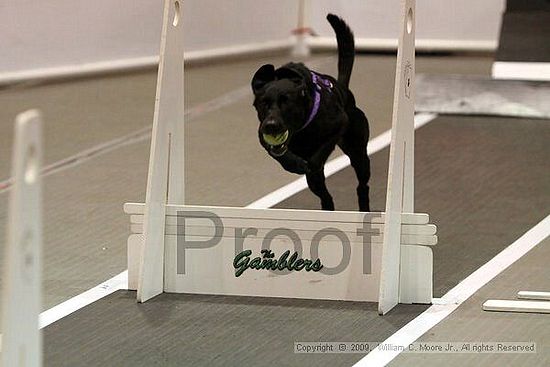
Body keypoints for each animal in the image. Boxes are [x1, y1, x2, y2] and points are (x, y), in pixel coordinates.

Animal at [253, 13, 374, 213]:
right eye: (264, 103)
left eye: (287, 102)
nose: (271, 125)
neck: (302, 130)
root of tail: (344, 89)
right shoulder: (263, 138)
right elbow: (280, 154)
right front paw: (295, 164)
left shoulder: (339, 123)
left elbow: (322, 151)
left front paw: (311, 163)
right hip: (318, 183)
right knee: (326, 196)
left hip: (358, 153)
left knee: (362, 185)